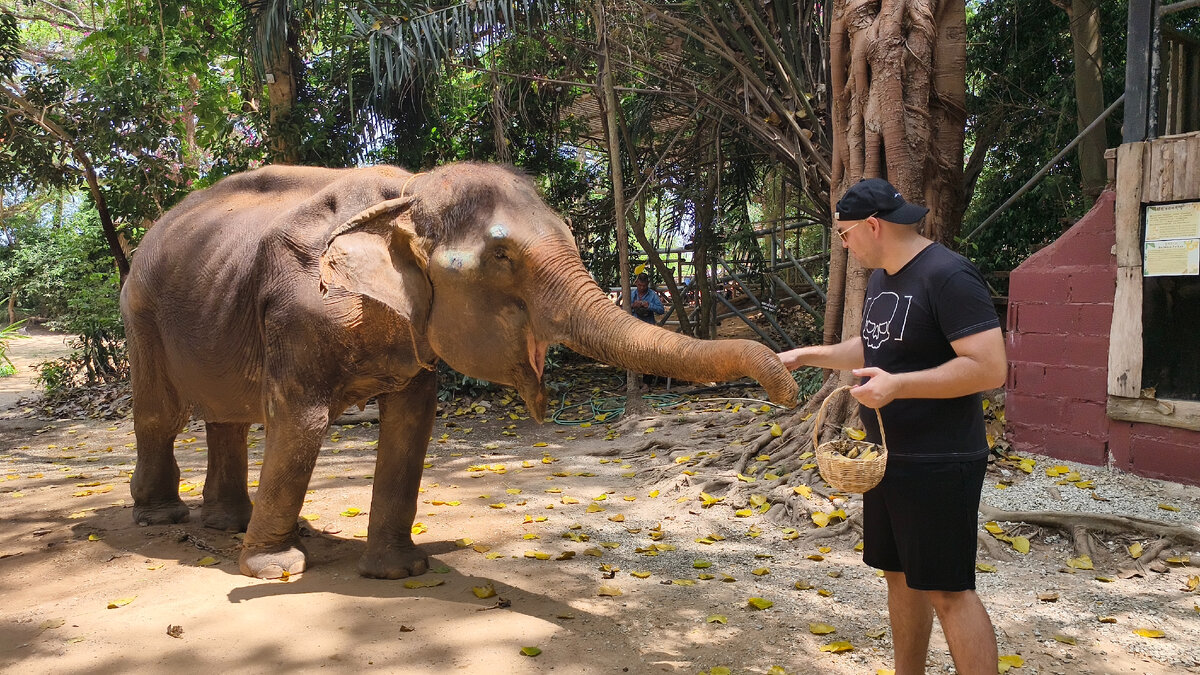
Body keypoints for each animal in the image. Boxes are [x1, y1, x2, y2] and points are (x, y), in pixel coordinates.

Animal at [119, 162, 796, 578]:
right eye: (502, 257)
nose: (789, 388)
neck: (409, 191)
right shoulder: (300, 309)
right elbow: (300, 421)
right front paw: (273, 572)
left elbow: (413, 421)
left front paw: (402, 571)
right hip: (141, 315)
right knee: (162, 414)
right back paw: (164, 518)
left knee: (225, 416)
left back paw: (232, 524)